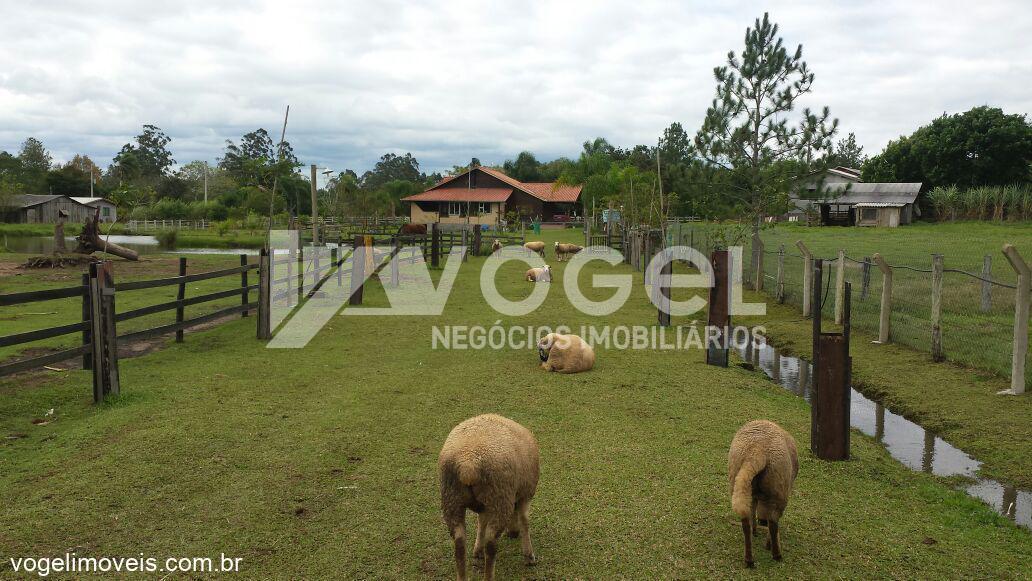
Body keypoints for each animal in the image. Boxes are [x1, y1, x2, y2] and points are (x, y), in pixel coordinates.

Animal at [439, 412, 544, 581]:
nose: (513, 534)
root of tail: (468, 464)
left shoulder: (485, 506)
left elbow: (481, 522)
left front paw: (477, 551)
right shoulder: (525, 494)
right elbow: (524, 520)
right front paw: (529, 556)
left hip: (452, 499)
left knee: (459, 543)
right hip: (500, 498)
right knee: (491, 544)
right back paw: (489, 574)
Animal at [726, 418, 796, 569]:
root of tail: (756, 450)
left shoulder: (753, 496)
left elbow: (753, 512)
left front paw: (755, 530)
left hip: (739, 481)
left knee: (745, 521)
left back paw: (749, 559)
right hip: (779, 491)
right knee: (773, 523)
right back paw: (776, 554)